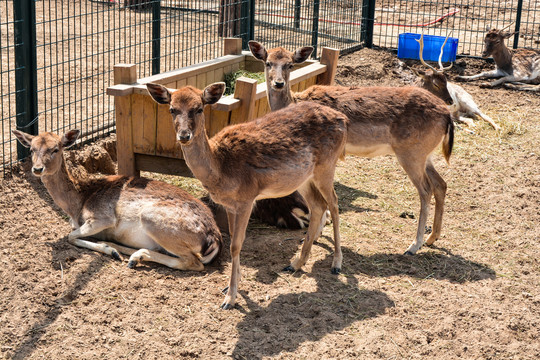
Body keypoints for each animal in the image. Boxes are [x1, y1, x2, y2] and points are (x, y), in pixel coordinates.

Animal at [11, 129, 221, 270]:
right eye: (31, 149)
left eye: (55, 149)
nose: (37, 169)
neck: (77, 203)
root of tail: (214, 237)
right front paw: (109, 247)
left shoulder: (102, 217)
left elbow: (70, 236)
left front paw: (108, 250)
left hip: (152, 218)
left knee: (193, 262)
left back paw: (134, 256)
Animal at [146, 81, 348, 310]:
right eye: (172, 109)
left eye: (199, 108)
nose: (184, 135)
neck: (221, 169)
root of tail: (343, 119)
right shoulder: (229, 205)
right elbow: (234, 239)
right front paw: (231, 286)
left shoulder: (247, 198)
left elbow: (236, 245)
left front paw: (230, 298)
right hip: (304, 177)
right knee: (318, 206)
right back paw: (296, 263)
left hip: (327, 165)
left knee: (334, 203)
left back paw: (336, 264)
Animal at [249, 40, 456, 256]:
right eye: (268, 63)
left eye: (290, 64)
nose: (278, 83)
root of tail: (448, 116)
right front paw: (318, 235)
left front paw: (317, 235)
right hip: (426, 154)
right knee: (441, 184)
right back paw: (432, 238)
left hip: (411, 153)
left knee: (425, 190)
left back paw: (414, 245)